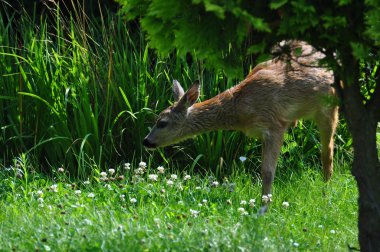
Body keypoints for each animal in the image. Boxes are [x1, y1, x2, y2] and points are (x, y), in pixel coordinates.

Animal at [142, 40, 338, 204]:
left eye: (162, 122)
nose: (146, 141)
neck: (240, 108)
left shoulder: (274, 124)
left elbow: (267, 172)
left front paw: (264, 205)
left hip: (328, 107)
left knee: (327, 151)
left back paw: (326, 191)